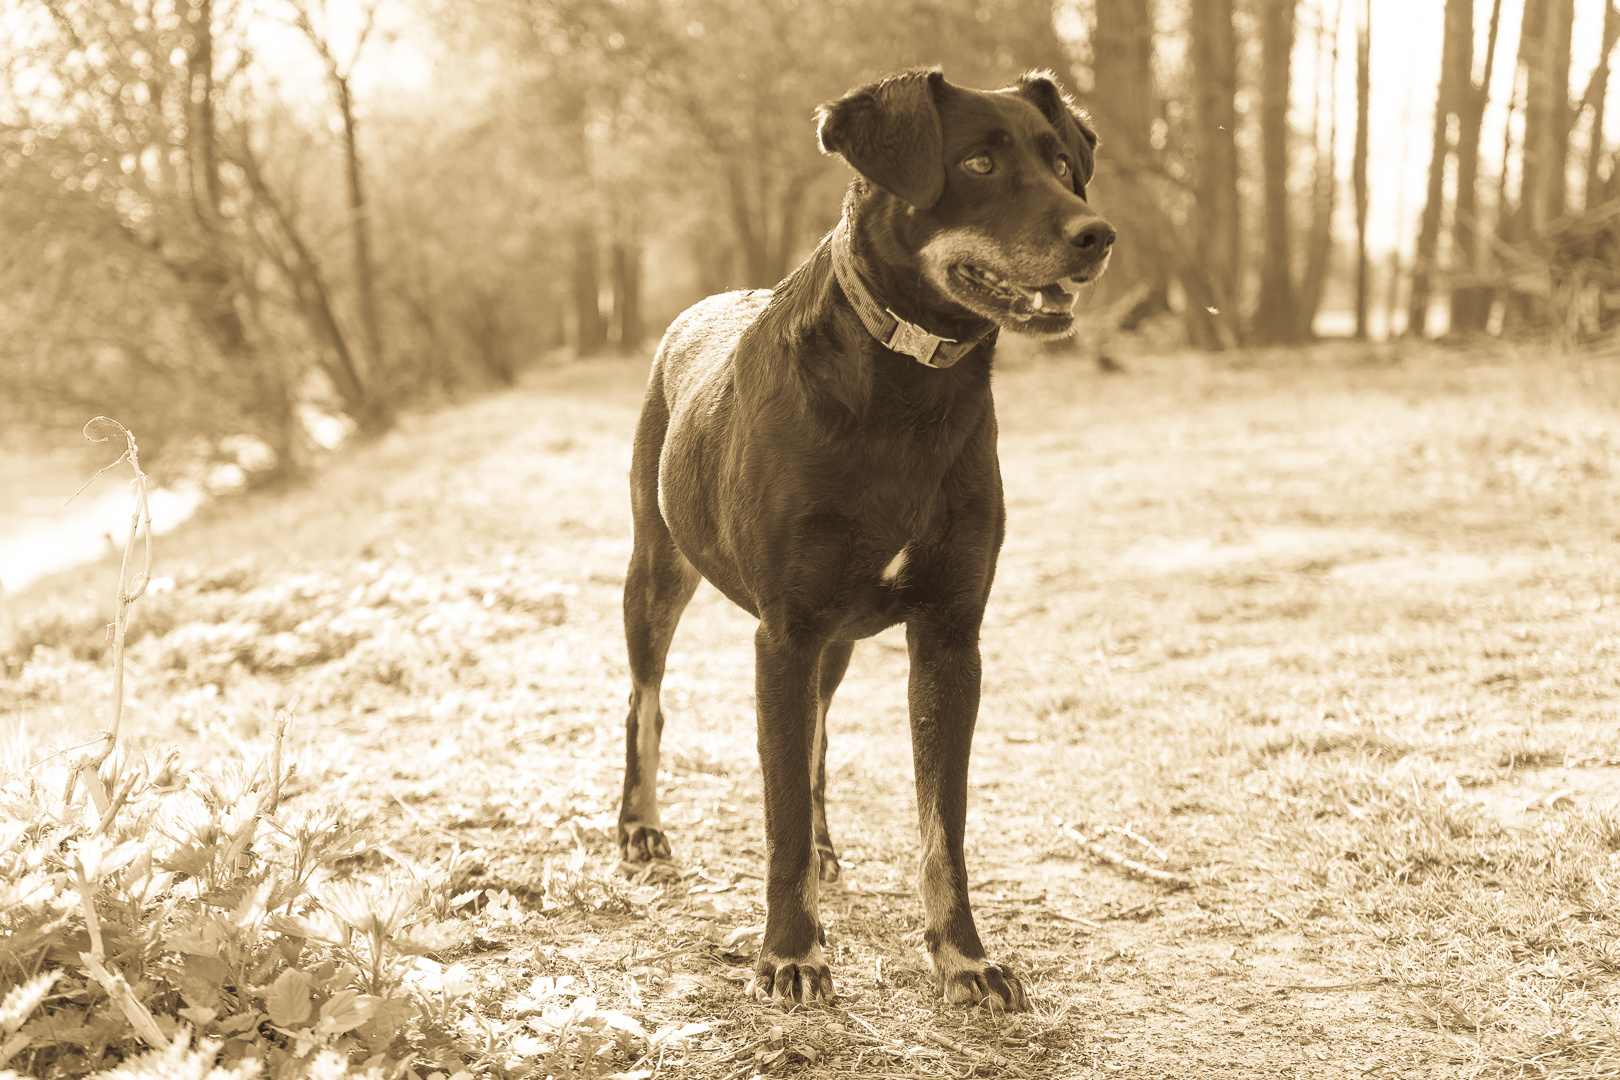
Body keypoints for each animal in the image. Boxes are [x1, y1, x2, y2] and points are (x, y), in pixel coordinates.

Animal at [615, 69, 1114, 1016]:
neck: (909, 389)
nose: (1098, 235)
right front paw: (790, 953)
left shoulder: (950, 636)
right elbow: (775, 812)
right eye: (979, 162)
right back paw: (639, 827)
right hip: (658, 571)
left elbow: (941, 826)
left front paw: (963, 958)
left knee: (812, 739)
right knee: (645, 701)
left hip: (835, 642)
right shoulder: (784, 634)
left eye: (1065, 165)